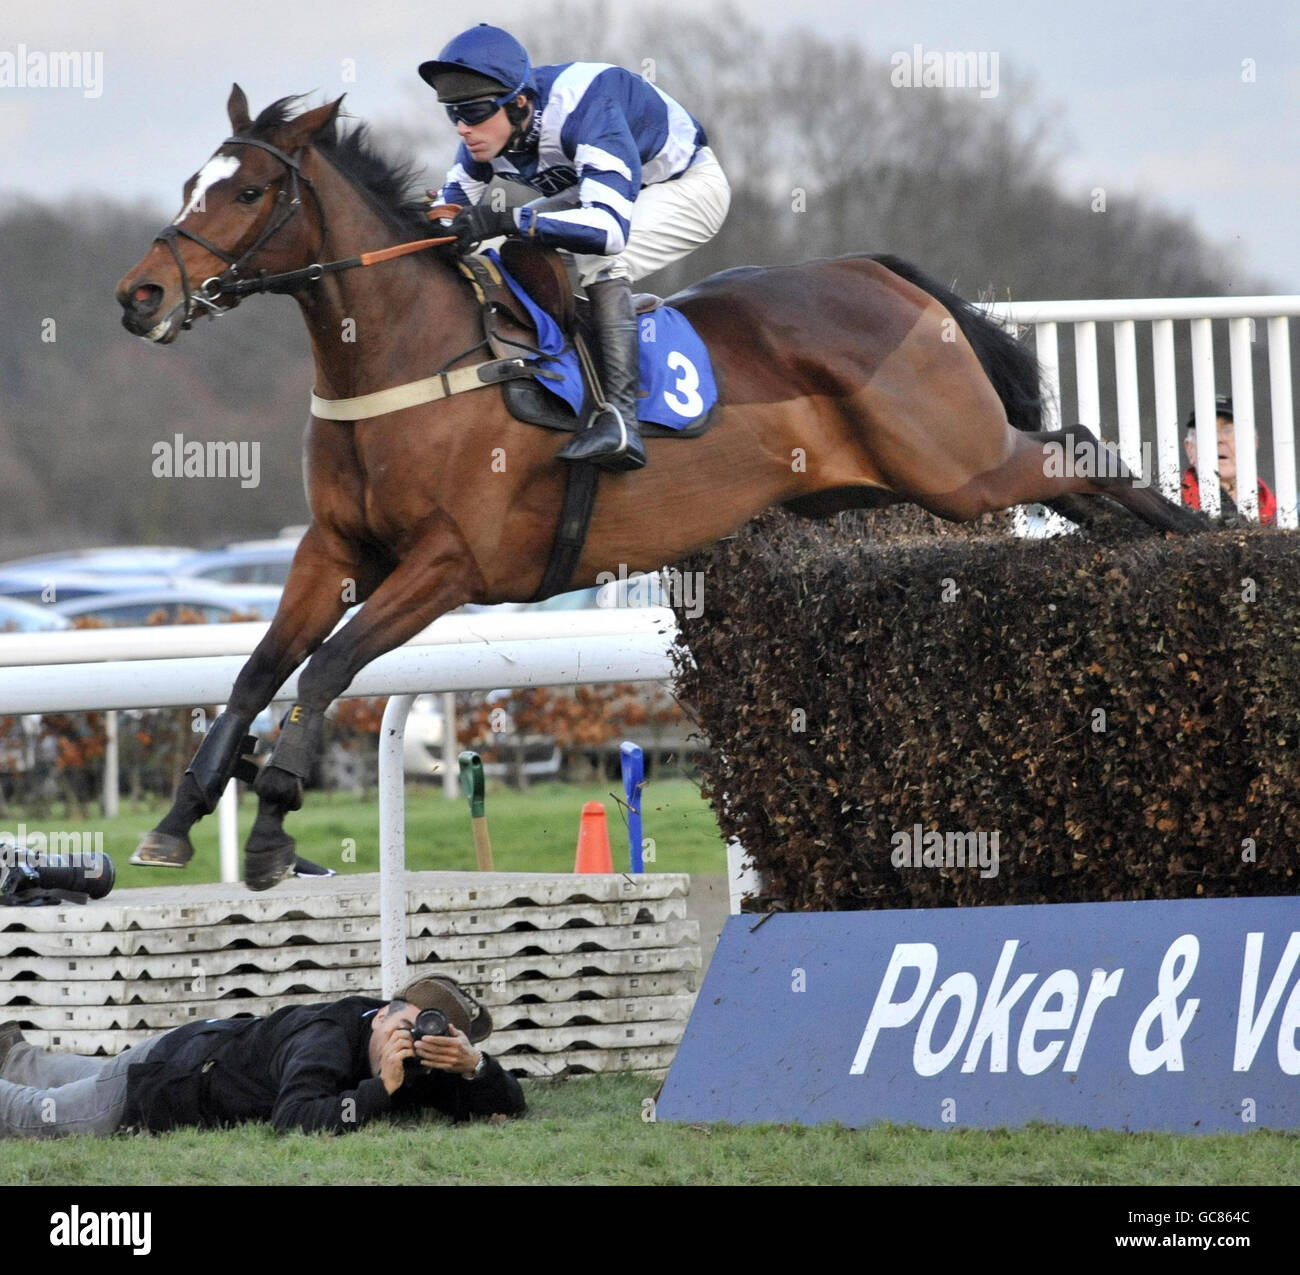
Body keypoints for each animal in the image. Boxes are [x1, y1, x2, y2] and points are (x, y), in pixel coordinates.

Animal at [116, 89, 1201, 888]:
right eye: (192, 181)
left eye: (250, 190)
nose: (140, 296)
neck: (411, 359)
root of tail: (878, 272)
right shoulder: (336, 550)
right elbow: (257, 669)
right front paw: (179, 817)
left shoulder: (451, 564)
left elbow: (327, 671)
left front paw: (270, 826)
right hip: (917, 477)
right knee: (1074, 480)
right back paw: (1142, 554)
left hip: (958, 464)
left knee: (1083, 453)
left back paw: (1195, 541)